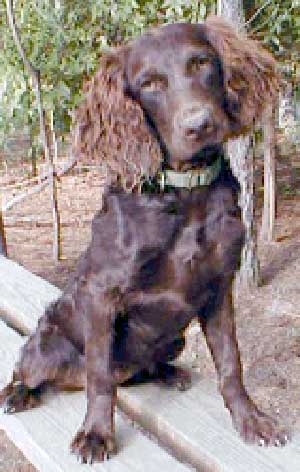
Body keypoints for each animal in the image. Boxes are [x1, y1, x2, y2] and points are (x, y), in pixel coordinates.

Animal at [1, 15, 290, 464]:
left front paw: (252, 421)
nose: (199, 125)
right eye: (149, 83)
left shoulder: (218, 289)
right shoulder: (101, 295)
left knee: (142, 370)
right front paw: (96, 435)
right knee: (32, 372)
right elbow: (100, 378)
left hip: (174, 338)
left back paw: (169, 373)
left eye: (202, 62)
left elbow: (231, 365)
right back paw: (18, 395)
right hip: (44, 345)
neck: (185, 195)